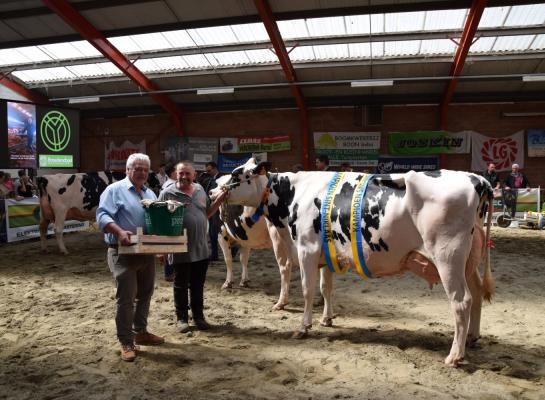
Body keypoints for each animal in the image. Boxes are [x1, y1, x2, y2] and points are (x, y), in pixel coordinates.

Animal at [210, 158, 496, 368]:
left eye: (235, 175)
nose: (212, 190)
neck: (292, 195)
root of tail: (477, 179)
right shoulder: (324, 256)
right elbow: (325, 288)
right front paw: (326, 319)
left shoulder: (306, 249)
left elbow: (307, 290)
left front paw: (303, 327)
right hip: (469, 260)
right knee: (476, 294)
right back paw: (472, 338)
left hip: (448, 256)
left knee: (461, 301)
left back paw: (455, 355)